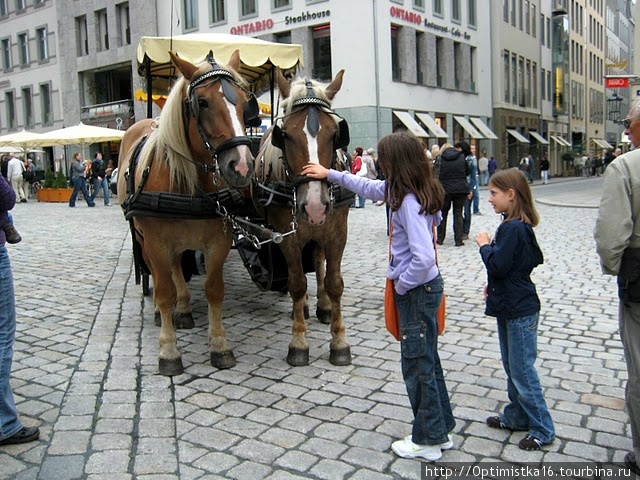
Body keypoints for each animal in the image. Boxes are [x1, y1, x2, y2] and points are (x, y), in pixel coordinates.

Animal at [119, 51, 258, 376]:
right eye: (202, 102)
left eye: (243, 101)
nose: (242, 166)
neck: (189, 186)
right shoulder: (156, 242)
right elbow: (164, 291)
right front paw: (169, 351)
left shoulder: (218, 242)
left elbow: (213, 289)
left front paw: (219, 345)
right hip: (144, 240)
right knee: (161, 276)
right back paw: (163, 313)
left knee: (176, 269)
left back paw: (182, 309)